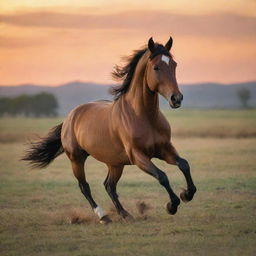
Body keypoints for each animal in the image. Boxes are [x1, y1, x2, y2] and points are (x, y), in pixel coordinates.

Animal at [23, 37, 197, 223]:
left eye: (174, 65)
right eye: (156, 67)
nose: (176, 98)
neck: (144, 117)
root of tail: (70, 117)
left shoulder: (164, 149)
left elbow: (184, 164)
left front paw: (187, 194)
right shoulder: (138, 156)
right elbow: (162, 176)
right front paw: (172, 205)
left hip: (115, 163)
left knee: (109, 186)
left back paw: (125, 214)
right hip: (77, 159)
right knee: (85, 186)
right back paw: (104, 216)